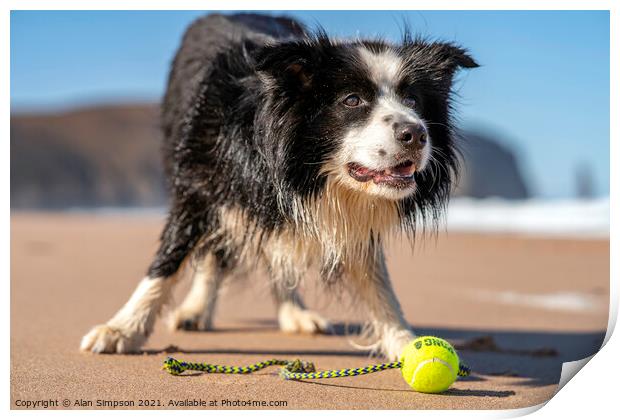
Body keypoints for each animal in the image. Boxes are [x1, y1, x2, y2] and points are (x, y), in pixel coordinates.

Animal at [80, 13, 478, 360]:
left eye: (412, 100)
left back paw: (294, 313)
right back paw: (195, 310)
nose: (417, 134)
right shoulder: (200, 180)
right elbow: (168, 259)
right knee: (215, 252)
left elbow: (378, 281)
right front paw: (120, 330)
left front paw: (405, 341)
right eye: (352, 100)